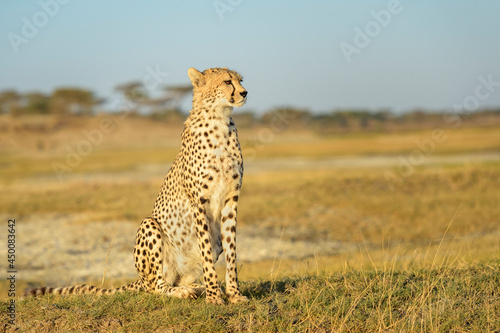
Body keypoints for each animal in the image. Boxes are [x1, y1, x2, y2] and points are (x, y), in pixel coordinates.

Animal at [25, 67, 248, 304]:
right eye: (227, 81)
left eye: (240, 80)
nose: (244, 93)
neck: (219, 120)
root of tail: (140, 280)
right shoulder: (199, 203)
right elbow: (206, 254)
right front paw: (215, 297)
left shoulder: (231, 200)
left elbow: (232, 252)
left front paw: (233, 294)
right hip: (149, 226)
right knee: (156, 286)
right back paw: (184, 291)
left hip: (206, 248)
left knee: (179, 279)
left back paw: (196, 287)